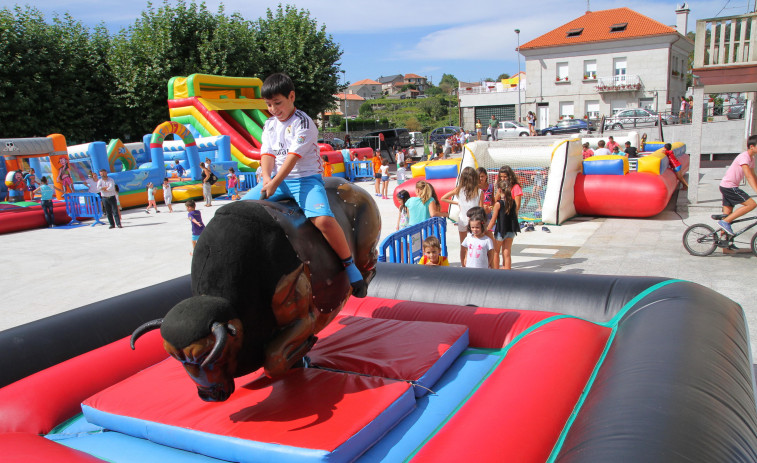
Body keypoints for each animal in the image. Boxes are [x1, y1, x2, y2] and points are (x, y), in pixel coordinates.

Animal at [130, 178, 380, 402]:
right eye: (176, 359)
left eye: (207, 356)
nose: (208, 395)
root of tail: (355, 187)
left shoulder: (304, 318)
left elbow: (273, 359)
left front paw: (306, 346)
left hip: (365, 246)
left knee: (370, 261)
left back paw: (360, 284)